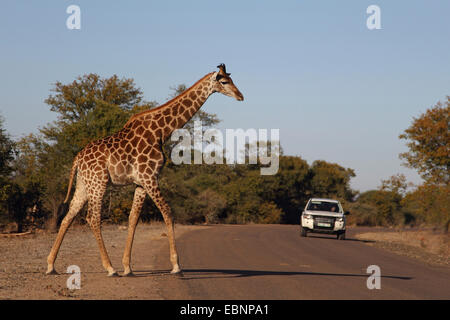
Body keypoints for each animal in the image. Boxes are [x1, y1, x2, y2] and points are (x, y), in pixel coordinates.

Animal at [46, 63, 243, 276]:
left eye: (231, 79)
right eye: (224, 81)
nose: (240, 96)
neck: (161, 132)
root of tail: (77, 159)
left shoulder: (141, 182)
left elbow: (133, 218)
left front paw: (127, 267)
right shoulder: (150, 177)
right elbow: (167, 212)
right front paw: (176, 265)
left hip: (84, 183)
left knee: (68, 216)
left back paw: (50, 265)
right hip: (98, 182)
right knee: (93, 218)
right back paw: (109, 268)